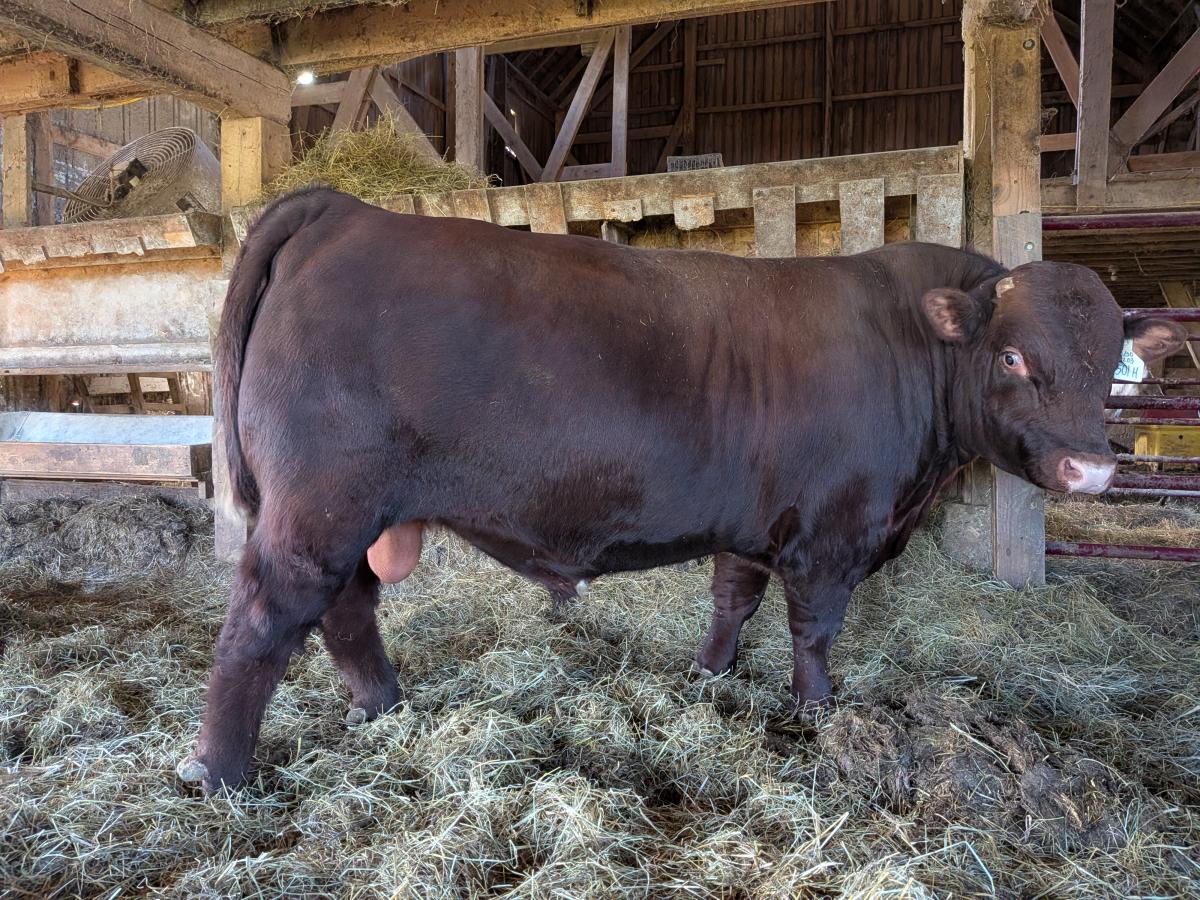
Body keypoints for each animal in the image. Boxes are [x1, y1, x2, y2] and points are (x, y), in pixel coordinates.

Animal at [178, 186, 1187, 793]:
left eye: (1111, 361)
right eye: (1014, 356)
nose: (1093, 467)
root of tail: (344, 209)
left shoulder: (754, 521)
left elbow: (731, 599)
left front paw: (710, 676)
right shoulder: (834, 533)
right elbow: (813, 630)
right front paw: (819, 713)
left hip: (349, 514)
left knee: (347, 609)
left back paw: (384, 706)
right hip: (319, 508)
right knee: (264, 621)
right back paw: (223, 773)